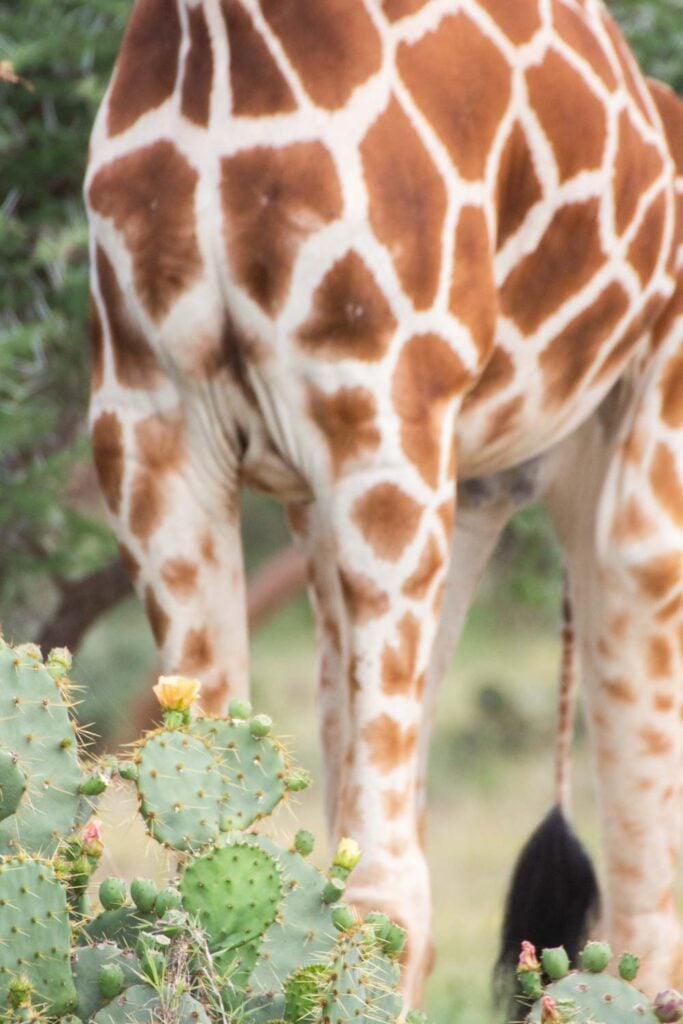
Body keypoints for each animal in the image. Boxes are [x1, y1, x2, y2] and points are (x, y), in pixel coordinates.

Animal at [85, 0, 683, 1007]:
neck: (227, 42)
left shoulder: (384, 418)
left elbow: (380, 902)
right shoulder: (149, 425)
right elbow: (202, 863)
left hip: (631, 483)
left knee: (645, 909)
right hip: (435, 502)